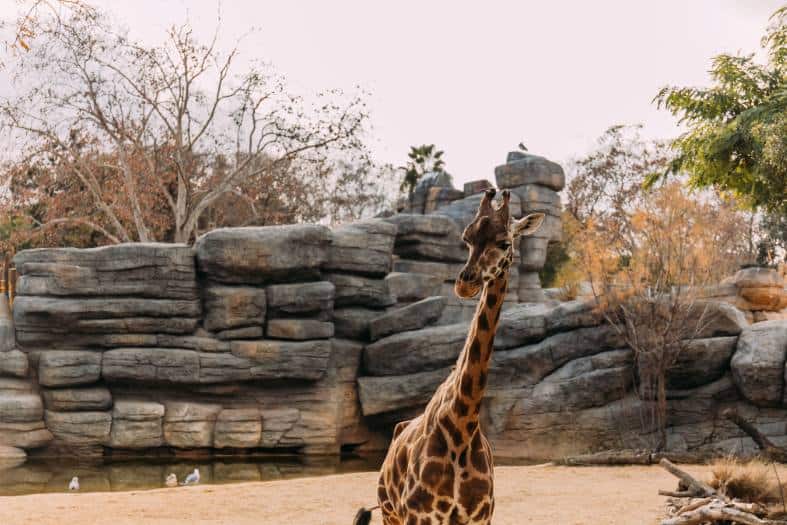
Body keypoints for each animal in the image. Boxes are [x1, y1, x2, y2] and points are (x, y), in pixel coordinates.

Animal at [354, 188, 545, 525]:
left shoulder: (479, 517)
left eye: (504, 242)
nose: (465, 283)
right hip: (390, 513)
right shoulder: (419, 516)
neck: (462, 425)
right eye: (466, 237)